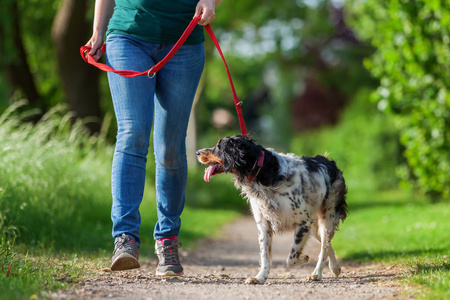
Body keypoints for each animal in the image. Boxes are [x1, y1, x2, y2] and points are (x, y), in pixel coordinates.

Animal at [196, 135, 348, 284]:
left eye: (218, 147)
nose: (197, 152)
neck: (264, 172)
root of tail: (328, 161)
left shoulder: (303, 222)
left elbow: (291, 258)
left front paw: (303, 258)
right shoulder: (264, 224)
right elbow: (265, 255)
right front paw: (260, 277)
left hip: (326, 219)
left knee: (324, 246)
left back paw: (317, 273)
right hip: (315, 227)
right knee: (327, 244)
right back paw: (335, 268)